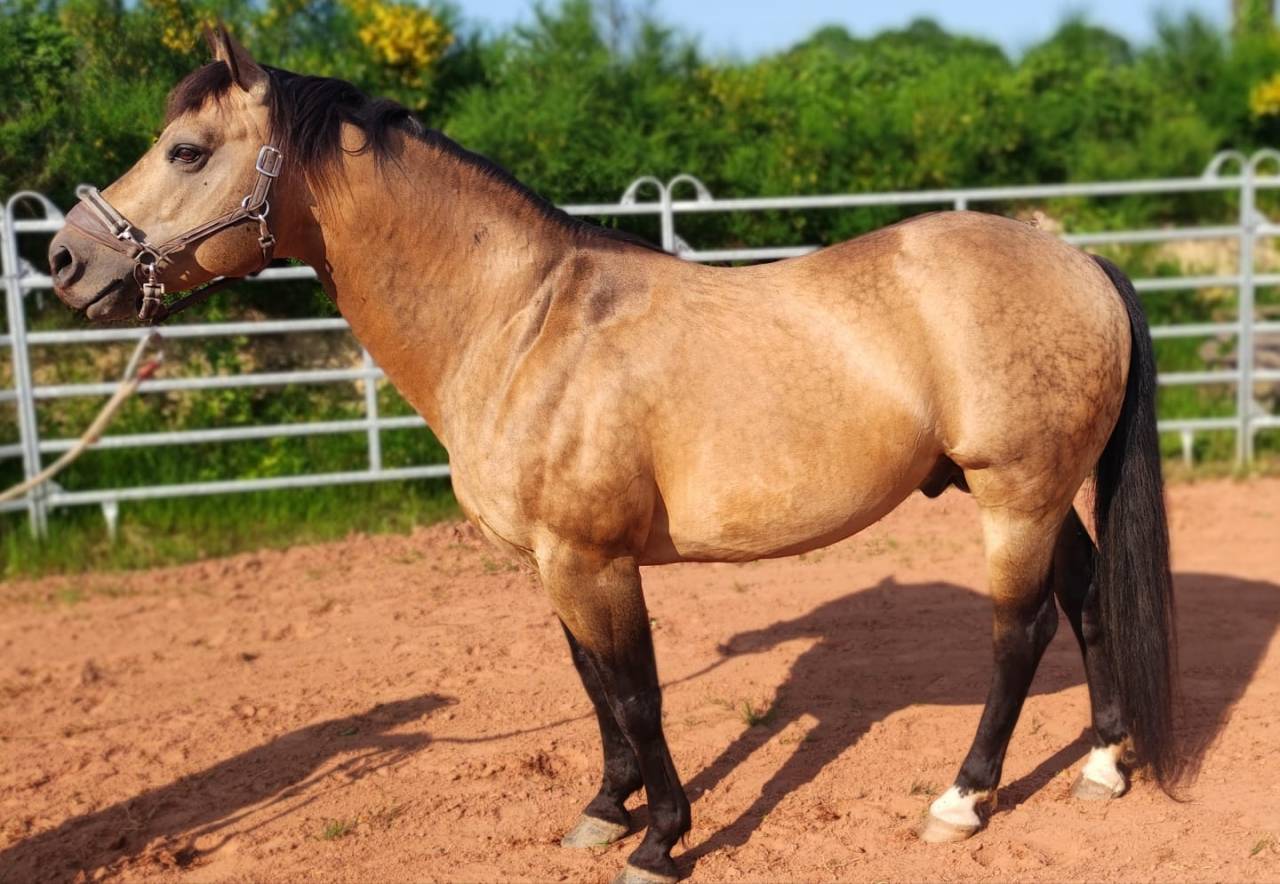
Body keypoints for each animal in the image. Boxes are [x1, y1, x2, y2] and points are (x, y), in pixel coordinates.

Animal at [48, 28, 1180, 884]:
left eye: (187, 150)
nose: (65, 258)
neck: (519, 323)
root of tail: (1076, 258)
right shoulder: (551, 562)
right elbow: (594, 686)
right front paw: (603, 808)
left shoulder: (591, 558)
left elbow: (637, 692)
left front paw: (661, 841)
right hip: (1041, 495)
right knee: (1085, 602)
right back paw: (1102, 766)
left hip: (1015, 496)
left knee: (1019, 633)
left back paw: (962, 799)